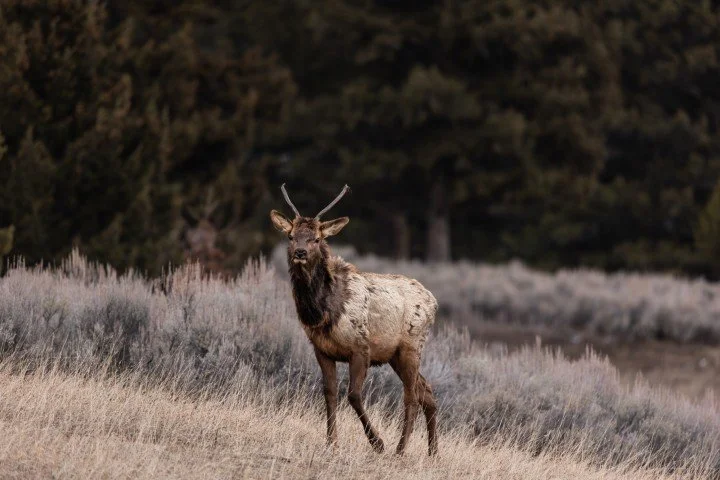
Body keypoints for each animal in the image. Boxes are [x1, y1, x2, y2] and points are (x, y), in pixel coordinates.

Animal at [270, 184, 439, 456]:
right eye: (291, 236)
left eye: (317, 238)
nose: (300, 252)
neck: (323, 314)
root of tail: (434, 302)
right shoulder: (322, 350)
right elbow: (329, 393)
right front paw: (331, 442)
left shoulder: (361, 348)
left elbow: (354, 395)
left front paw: (377, 443)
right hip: (394, 355)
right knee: (427, 391)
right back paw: (433, 452)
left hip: (412, 346)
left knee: (412, 396)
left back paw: (400, 449)